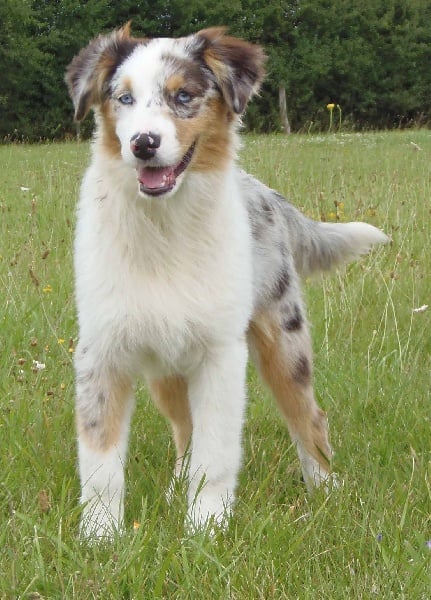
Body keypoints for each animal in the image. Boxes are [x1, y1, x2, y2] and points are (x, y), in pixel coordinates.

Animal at [66, 24, 390, 540]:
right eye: (124, 98)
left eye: (184, 96)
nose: (143, 142)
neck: (164, 228)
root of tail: (267, 192)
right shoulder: (103, 349)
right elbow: (100, 462)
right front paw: (101, 538)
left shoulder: (220, 353)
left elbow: (216, 453)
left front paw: (206, 528)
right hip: (165, 367)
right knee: (183, 429)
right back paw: (175, 490)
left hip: (284, 341)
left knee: (308, 416)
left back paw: (325, 488)